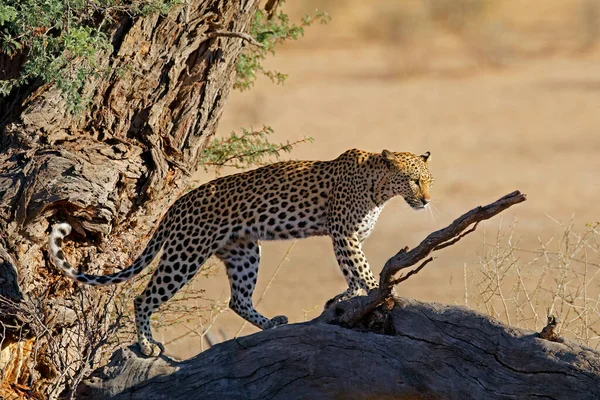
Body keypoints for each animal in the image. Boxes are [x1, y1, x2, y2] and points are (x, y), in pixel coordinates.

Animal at [47, 148, 432, 356]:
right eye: (414, 181)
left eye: (429, 180)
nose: (427, 200)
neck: (380, 189)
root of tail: (176, 204)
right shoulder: (344, 234)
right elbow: (363, 271)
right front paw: (381, 294)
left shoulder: (346, 237)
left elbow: (353, 274)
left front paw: (347, 297)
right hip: (185, 254)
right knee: (144, 298)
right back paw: (146, 345)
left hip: (244, 252)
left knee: (237, 299)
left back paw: (271, 325)